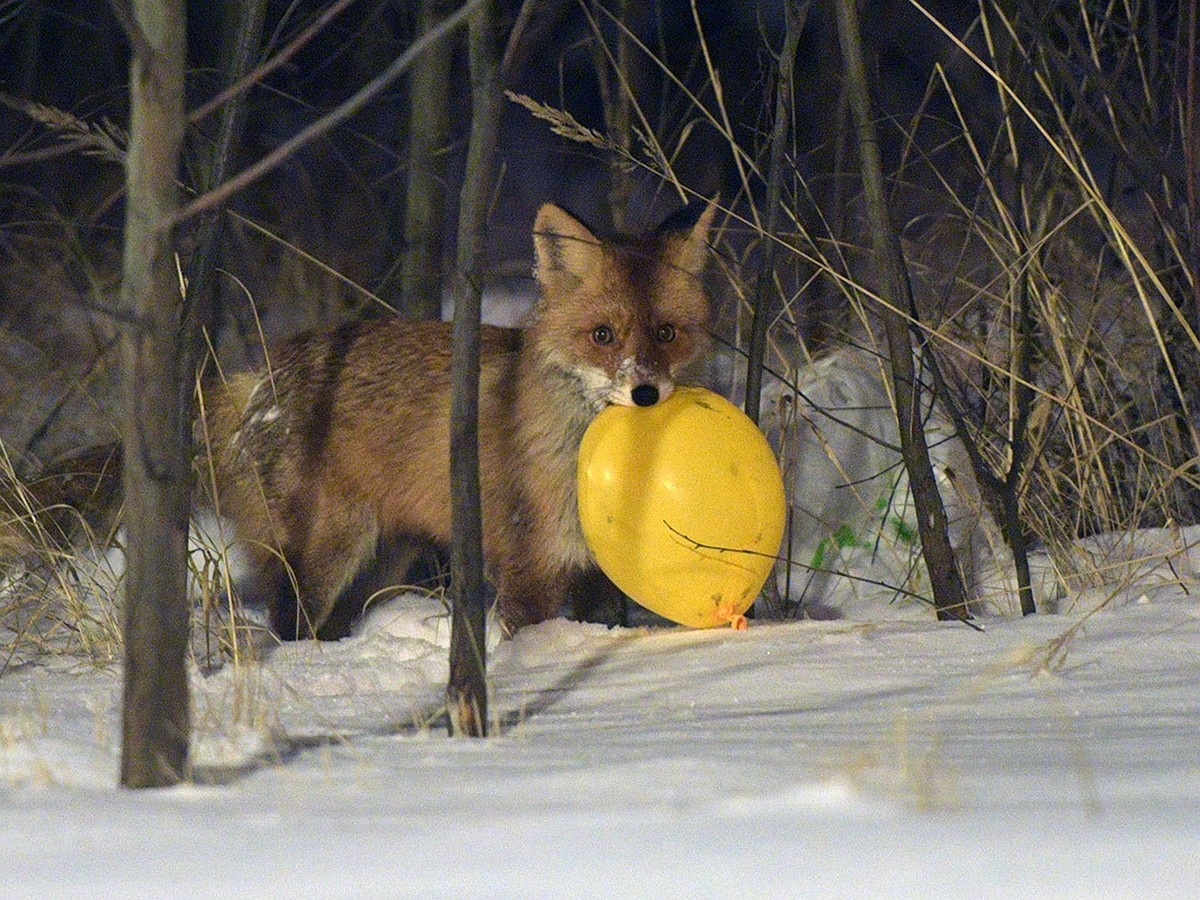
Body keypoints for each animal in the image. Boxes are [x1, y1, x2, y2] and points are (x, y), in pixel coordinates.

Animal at [201, 200, 715, 643]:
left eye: (666, 333)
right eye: (602, 335)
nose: (645, 393)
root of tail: (263, 372)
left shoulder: (598, 575)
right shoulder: (531, 567)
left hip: (383, 561)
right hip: (323, 557)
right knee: (287, 628)